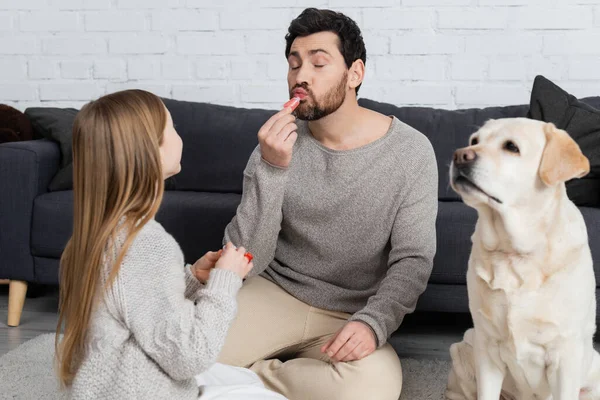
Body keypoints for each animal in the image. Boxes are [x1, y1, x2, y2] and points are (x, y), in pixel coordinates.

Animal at [442, 117, 600, 398]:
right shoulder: (486, 347)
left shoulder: (565, 354)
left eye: (511, 147)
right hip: (464, 346)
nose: (460, 155)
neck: (515, 253)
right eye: (475, 140)